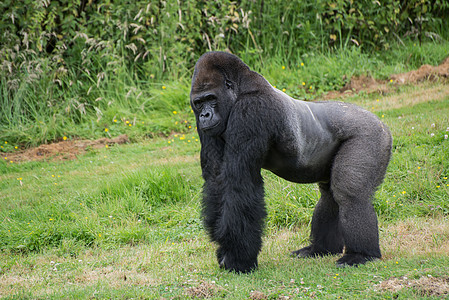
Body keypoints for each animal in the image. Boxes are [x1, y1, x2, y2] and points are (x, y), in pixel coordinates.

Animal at [190, 52, 392, 274]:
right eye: (198, 102)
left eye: (211, 99)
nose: (204, 115)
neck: (241, 88)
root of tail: (381, 122)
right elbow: (217, 179)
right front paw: (227, 251)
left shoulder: (251, 110)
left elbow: (239, 183)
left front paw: (238, 257)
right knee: (329, 196)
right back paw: (320, 248)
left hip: (370, 134)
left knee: (350, 194)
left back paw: (361, 254)